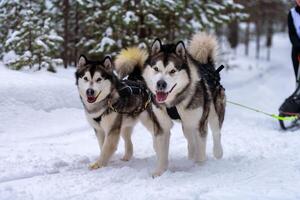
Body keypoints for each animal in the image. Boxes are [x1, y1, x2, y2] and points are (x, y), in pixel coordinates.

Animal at [116, 32, 225, 164]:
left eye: (172, 71)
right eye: (156, 69)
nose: (160, 84)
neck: (174, 102)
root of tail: (208, 65)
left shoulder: (199, 124)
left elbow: (201, 150)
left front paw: (200, 165)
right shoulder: (162, 125)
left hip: (213, 114)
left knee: (216, 132)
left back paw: (218, 153)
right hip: (187, 125)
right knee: (191, 140)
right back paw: (191, 157)